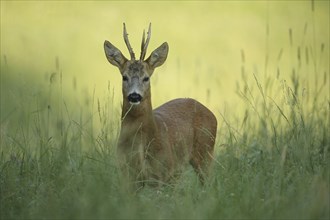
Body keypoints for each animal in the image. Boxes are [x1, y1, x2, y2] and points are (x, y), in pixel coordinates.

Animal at [103, 23, 217, 188]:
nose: (134, 96)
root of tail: (212, 114)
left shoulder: (163, 172)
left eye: (146, 78)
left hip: (205, 154)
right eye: (124, 77)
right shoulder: (127, 175)